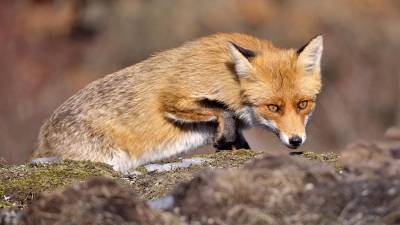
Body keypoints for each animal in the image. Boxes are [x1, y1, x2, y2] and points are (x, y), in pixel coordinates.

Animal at [32, 32, 324, 173]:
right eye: (273, 107)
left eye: (303, 104)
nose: (296, 140)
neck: (228, 76)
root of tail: (43, 136)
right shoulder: (171, 99)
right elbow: (223, 110)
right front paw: (223, 137)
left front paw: (232, 145)